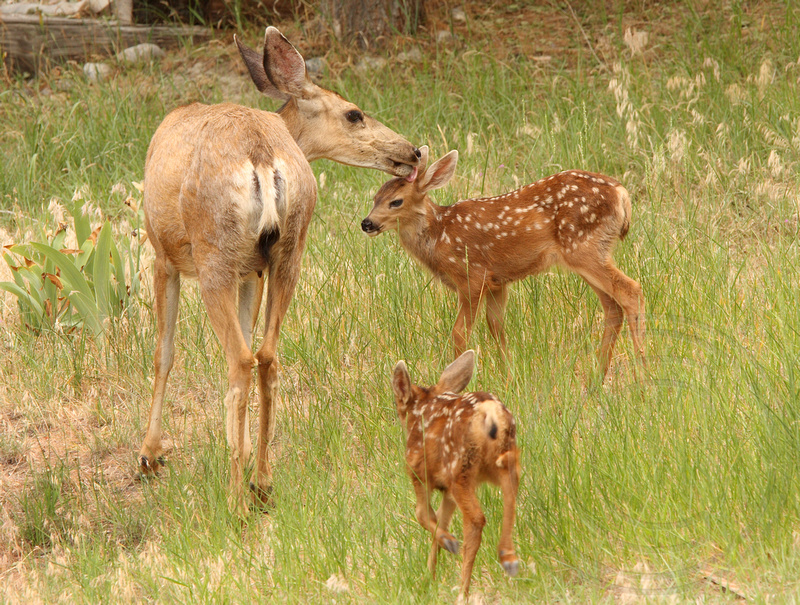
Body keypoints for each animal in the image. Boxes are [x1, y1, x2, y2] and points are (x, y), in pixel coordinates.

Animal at [139, 26, 418, 512]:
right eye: (354, 113)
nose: (413, 150)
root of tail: (262, 155)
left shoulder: (163, 254)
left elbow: (164, 352)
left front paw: (150, 455)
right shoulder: (251, 270)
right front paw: (244, 449)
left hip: (213, 253)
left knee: (239, 360)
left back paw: (235, 497)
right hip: (291, 250)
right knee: (266, 356)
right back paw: (262, 481)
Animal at [362, 146, 644, 378]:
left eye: (396, 201)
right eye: (375, 198)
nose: (367, 223)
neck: (439, 235)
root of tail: (622, 194)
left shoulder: (472, 278)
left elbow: (459, 333)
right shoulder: (498, 283)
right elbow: (497, 328)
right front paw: (507, 376)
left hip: (583, 248)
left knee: (630, 290)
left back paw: (642, 373)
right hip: (590, 254)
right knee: (612, 306)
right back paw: (598, 377)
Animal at [392, 346, 520, 596]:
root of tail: (491, 413)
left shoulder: (419, 472)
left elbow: (423, 514)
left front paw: (448, 545)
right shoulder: (446, 490)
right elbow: (441, 519)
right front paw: (428, 578)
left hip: (460, 468)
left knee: (476, 519)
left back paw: (463, 590)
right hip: (501, 461)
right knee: (510, 497)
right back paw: (508, 559)